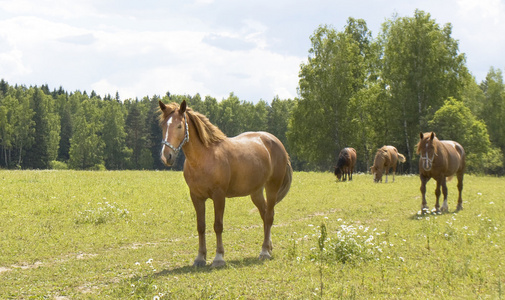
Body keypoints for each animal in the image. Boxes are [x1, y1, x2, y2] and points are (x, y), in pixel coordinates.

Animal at [158, 101, 292, 268]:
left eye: (179, 126)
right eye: (163, 125)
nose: (166, 156)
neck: (204, 157)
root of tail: (276, 143)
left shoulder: (219, 196)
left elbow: (218, 225)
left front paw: (219, 258)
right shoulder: (196, 197)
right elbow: (201, 226)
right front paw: (200, 257)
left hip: (272, 187)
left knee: (269, 216)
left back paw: (264, 252)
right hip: (256, 192)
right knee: (265, 214)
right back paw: (269, 247)